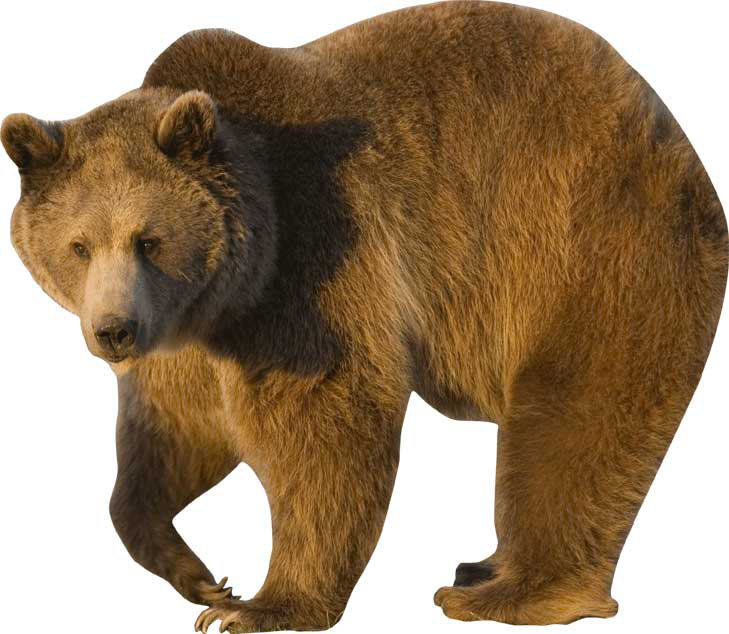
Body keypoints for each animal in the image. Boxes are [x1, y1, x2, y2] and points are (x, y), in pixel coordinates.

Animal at [2, 1, 727, 631]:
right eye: (79, 245)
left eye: (148, 239)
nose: (112, 331)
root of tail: (677, 136)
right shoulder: (188, 336)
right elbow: (173, 435)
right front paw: (201, 576)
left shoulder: (316, 255)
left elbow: (325, 422)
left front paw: (261, 606)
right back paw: (481, 567)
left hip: (587, 239)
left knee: (570, 418)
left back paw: (505, 593)